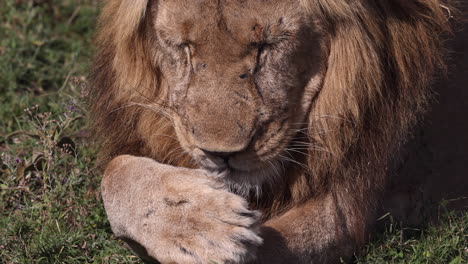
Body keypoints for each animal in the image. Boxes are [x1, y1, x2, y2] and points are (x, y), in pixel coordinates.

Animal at [89, 0, 456, 262]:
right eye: (183, 46)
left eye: (267, 45)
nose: (221, 155)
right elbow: (114, 169)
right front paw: (197, 220)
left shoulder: (352, 203)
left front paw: (208, 229)